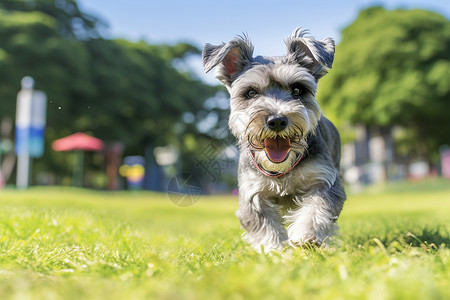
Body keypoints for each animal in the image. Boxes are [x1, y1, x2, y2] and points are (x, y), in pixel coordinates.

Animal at [202, 28, 346, 253]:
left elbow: (318, 207)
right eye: (251, 92)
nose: (277, 120)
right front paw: (275, 251)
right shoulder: (252, 195)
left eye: (297, 90)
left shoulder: (324, 180)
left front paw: (306, 235)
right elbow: (264, 227)